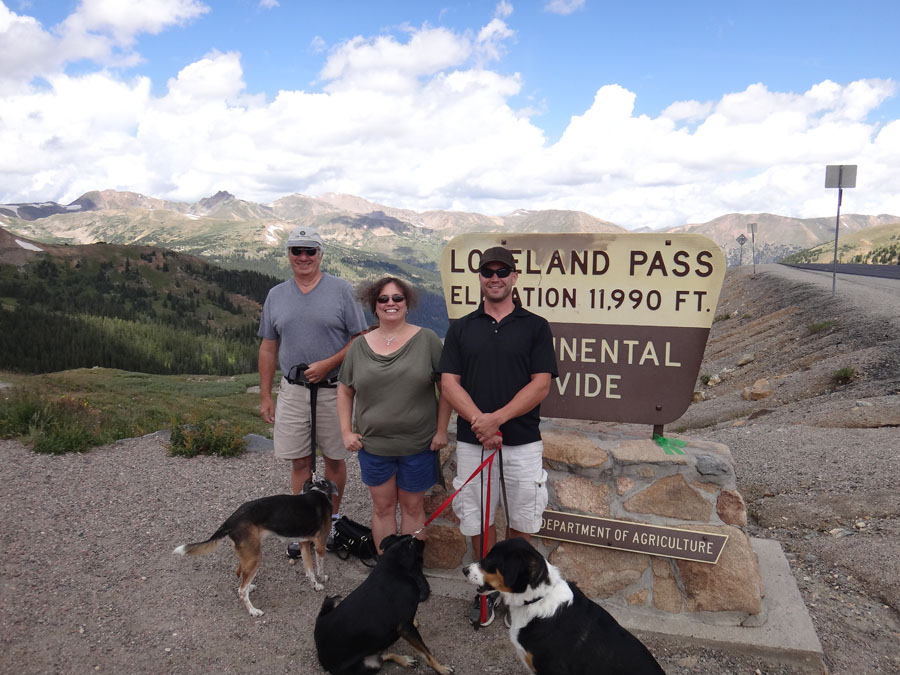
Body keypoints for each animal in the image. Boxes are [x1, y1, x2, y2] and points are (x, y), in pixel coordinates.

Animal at [172, 477, 338, 617]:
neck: (319, 490)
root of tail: (230, 520)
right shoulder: (320, 544)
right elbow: (319, 567)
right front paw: (322, 579)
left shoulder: (304, 543)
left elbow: (309, 570)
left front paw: (315, 586)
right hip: (255, 557)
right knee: (241, 590)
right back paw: (253, 611)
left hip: (248, 554)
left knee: (240, 574)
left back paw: (250, 587)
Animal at [314, 534, 453, 675]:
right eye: (415, 541)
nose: (422, 539)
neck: (394, 567)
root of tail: (322, 659)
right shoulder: (404, 627)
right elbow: (426, 653)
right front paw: (441, 668)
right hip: (370, 664)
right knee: (381, 657)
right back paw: (404, 660)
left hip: (334, 601)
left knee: (382, 655)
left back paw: (406, 660)